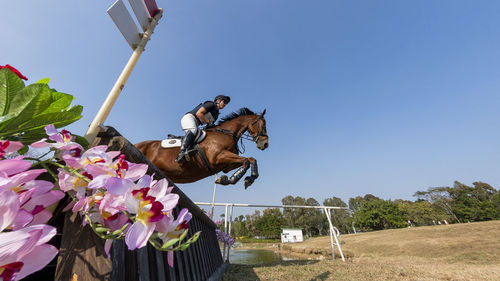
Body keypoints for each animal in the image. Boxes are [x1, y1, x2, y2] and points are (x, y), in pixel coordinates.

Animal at [134, 107, 270, 188]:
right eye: (263, 124)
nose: (265, 144)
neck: (226, 133)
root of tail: (136, 145)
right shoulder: (218, 157)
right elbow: (247, 160)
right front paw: (232, 179)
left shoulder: (226, 165)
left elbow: (251, 160)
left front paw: (246, 179)